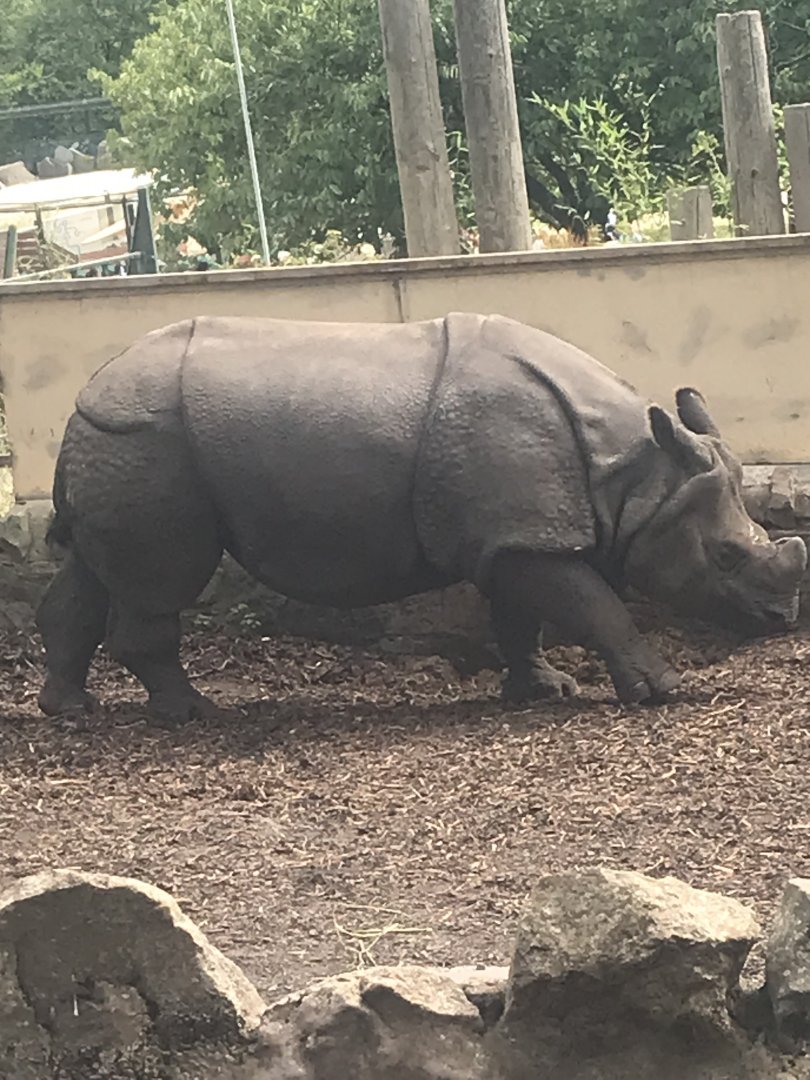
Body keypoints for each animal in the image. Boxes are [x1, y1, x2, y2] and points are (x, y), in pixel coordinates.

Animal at [36, 312, 806, 721]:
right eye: (727, 556)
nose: (781, 620)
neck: (635, 474)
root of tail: (85, 393)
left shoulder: (516, 534)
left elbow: (521, 617)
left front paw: (545, 690)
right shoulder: (529, 537)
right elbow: (595, 605)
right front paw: (662, 691)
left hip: (119, 443)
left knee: (92, 574)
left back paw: (69, 709)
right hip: (149, 444)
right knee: (160, 580)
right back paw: (190, 713)